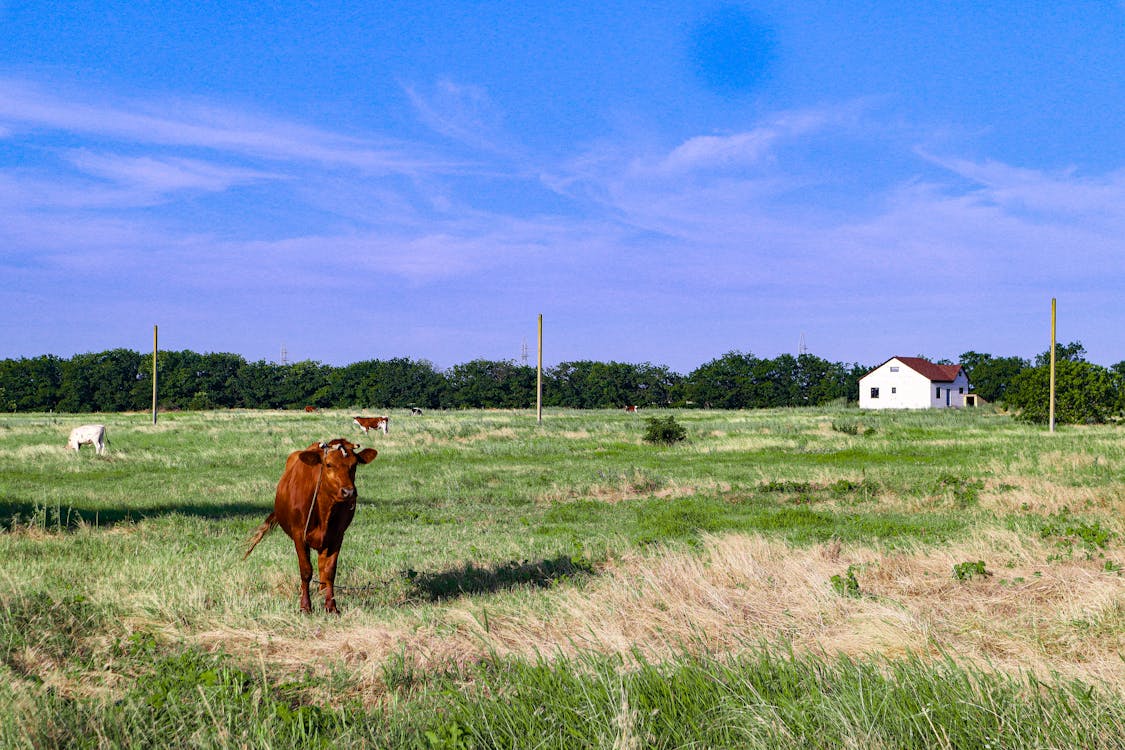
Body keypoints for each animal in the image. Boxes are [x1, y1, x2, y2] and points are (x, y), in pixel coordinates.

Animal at [243, 436, 378, 611]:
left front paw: (331, 606)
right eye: (328, 464)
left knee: (322, 565)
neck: (324, 509)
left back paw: (322, 591)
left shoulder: (337, 535)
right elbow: (306, 570)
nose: (348, 492)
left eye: (354, 465)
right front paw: (305, 606)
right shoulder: (299, 535)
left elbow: (329, 571)